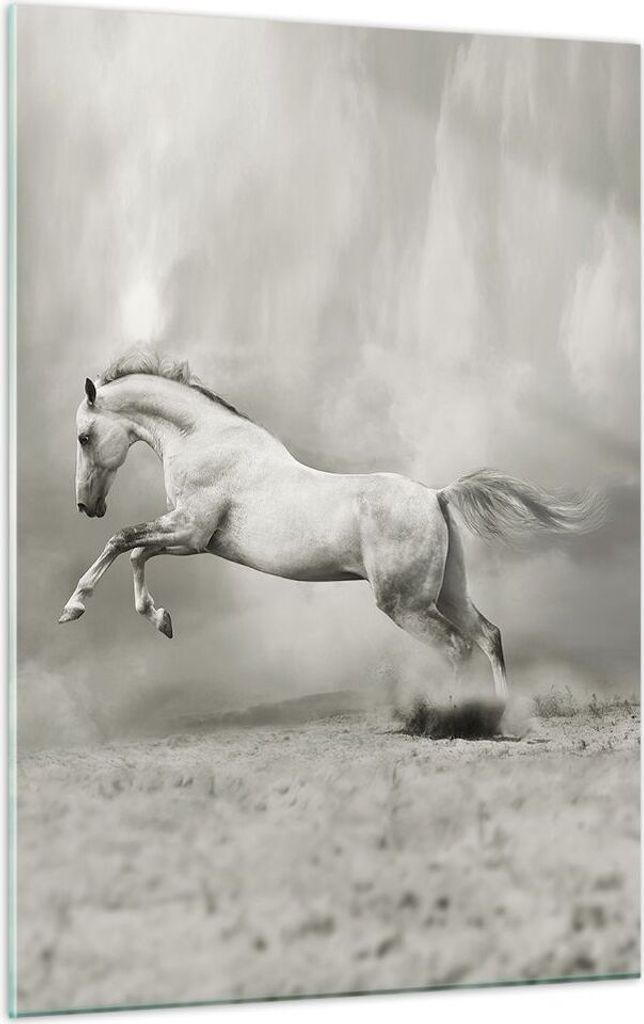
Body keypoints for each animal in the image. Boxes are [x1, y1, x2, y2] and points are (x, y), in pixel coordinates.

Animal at [59, 351, 603, 701]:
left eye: (84, 437)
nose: (86, 505)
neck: (202, 439)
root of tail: (436, 495)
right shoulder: (191, 538)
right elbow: (135, 551)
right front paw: (162, 619)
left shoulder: (191, 532)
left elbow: (122, 541)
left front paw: (73, 608)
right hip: (448, 592)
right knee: (489, 637)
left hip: (405, 604)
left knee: (458, 648)